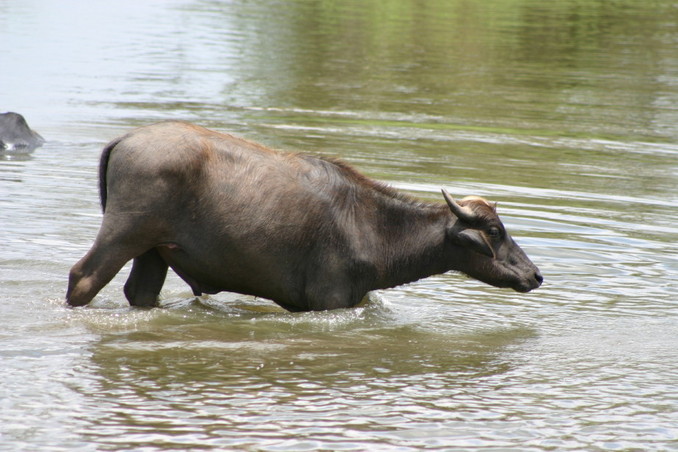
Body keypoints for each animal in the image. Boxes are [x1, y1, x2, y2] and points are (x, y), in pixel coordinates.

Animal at [66, 120, 544, 310]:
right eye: (495, 231)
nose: (535, 275)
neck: (371, 225)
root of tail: (126, 139)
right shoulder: (328, 300)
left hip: (154, 251)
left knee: (141, 293)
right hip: (124, 233)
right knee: (83, 278)